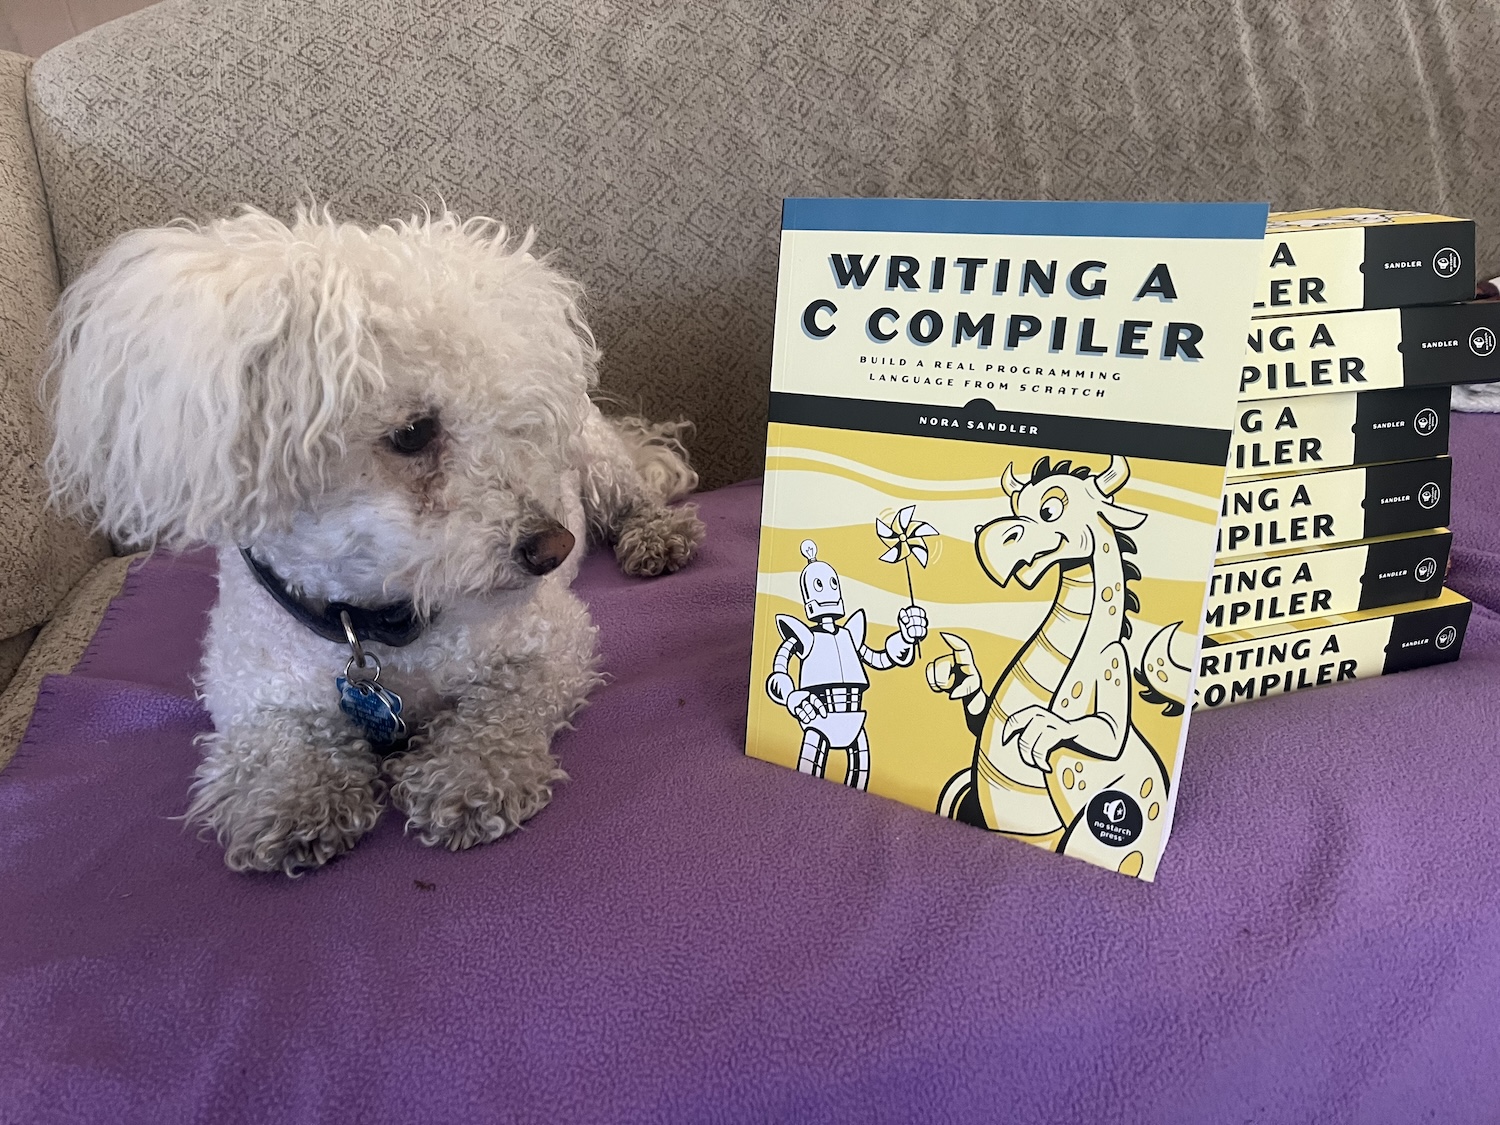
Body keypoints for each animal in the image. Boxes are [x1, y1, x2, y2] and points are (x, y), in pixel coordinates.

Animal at [46, 211, 702, 882]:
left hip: (597, 460)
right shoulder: (245, 683)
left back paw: (655, 535)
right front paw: (292, 796)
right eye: (413, 433)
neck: (371, 619)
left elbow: (505, 706)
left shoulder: (553, 639)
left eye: (521, 424)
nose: (553, 548)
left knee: (634, 494)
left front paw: (468, 773)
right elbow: (273, 741)